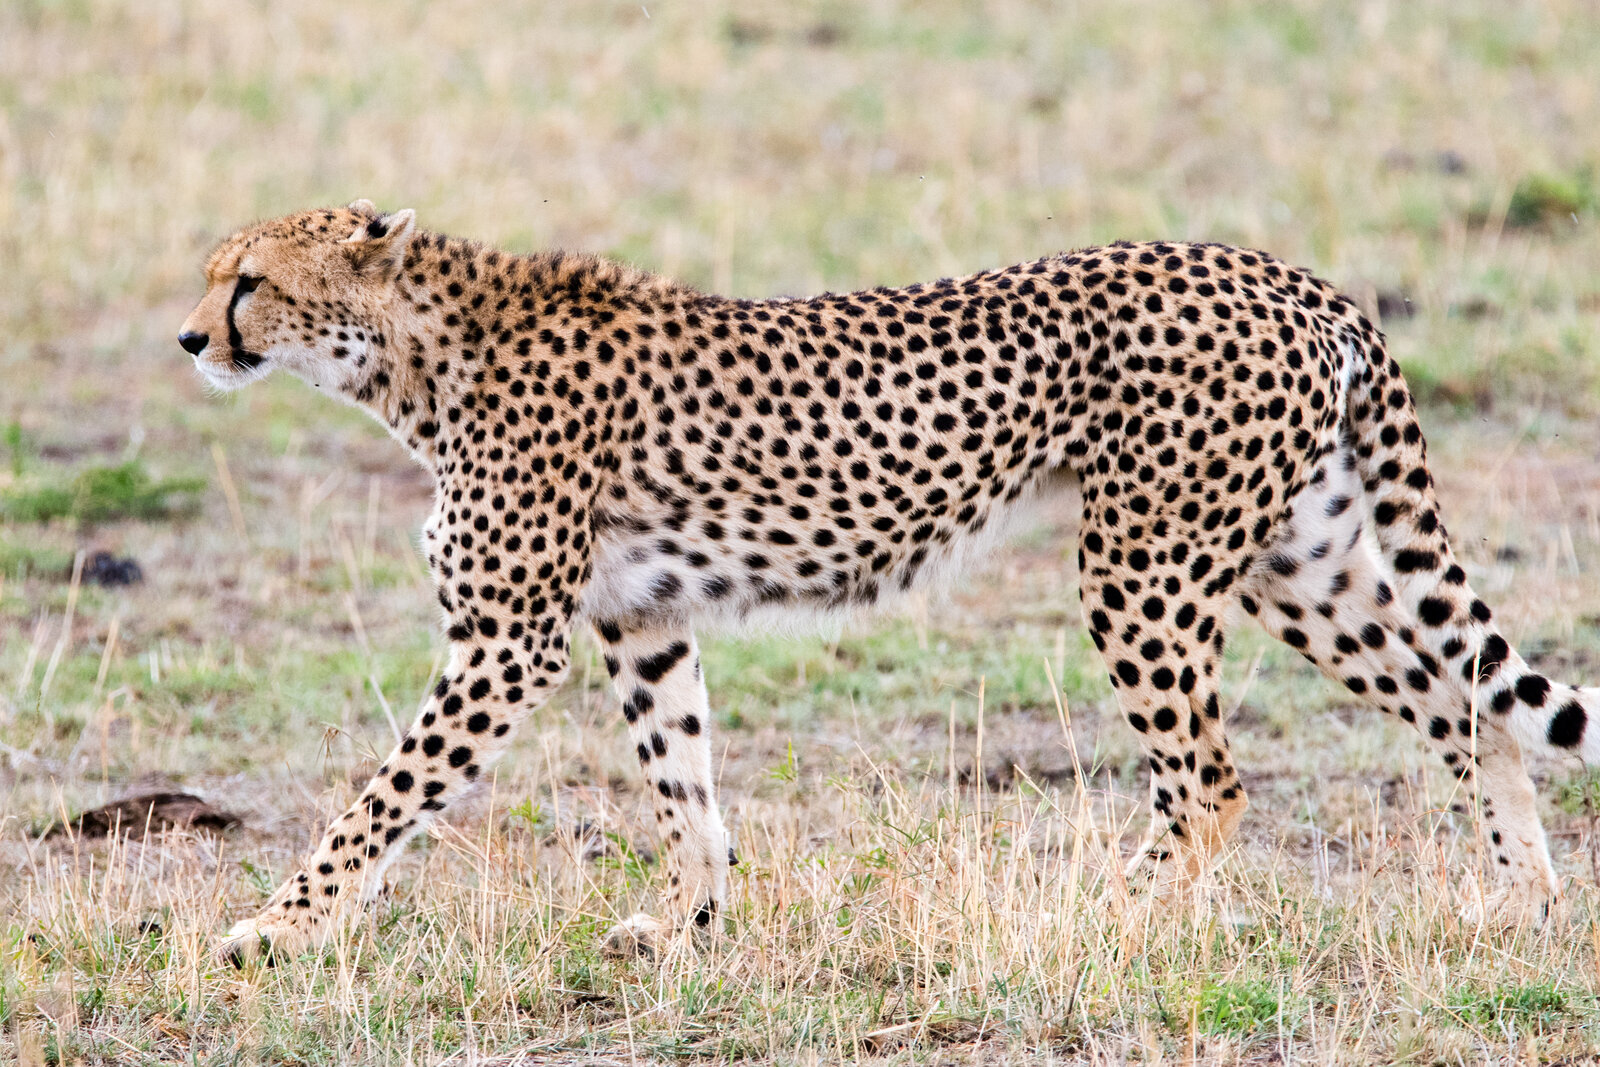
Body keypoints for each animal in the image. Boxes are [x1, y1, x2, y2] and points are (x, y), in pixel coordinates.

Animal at [178, 200, 1600, 964]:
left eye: (250, 278)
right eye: (212, 273)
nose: (191, 338)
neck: (414, 355)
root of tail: (1291, 274)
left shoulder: (507, 638)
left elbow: (380, 798)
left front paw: (271, 930)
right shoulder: (642, 617)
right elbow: (684, 787)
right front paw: (688, 928)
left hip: (1143, 564)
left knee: (1210, 776)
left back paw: (1100, 915)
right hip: (1292, 560)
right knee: (1461, 698)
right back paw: (1518, 896)